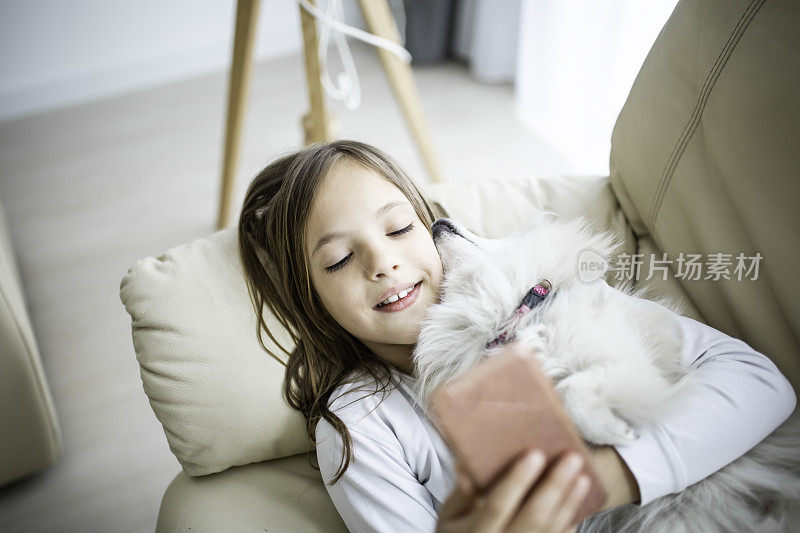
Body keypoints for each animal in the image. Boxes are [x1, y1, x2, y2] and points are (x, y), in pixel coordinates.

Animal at [412, 214, 800, 532]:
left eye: (490, 233)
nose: (436, 220)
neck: (519, 318)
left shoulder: (629, 362)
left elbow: (574, 390)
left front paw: (609, 429)